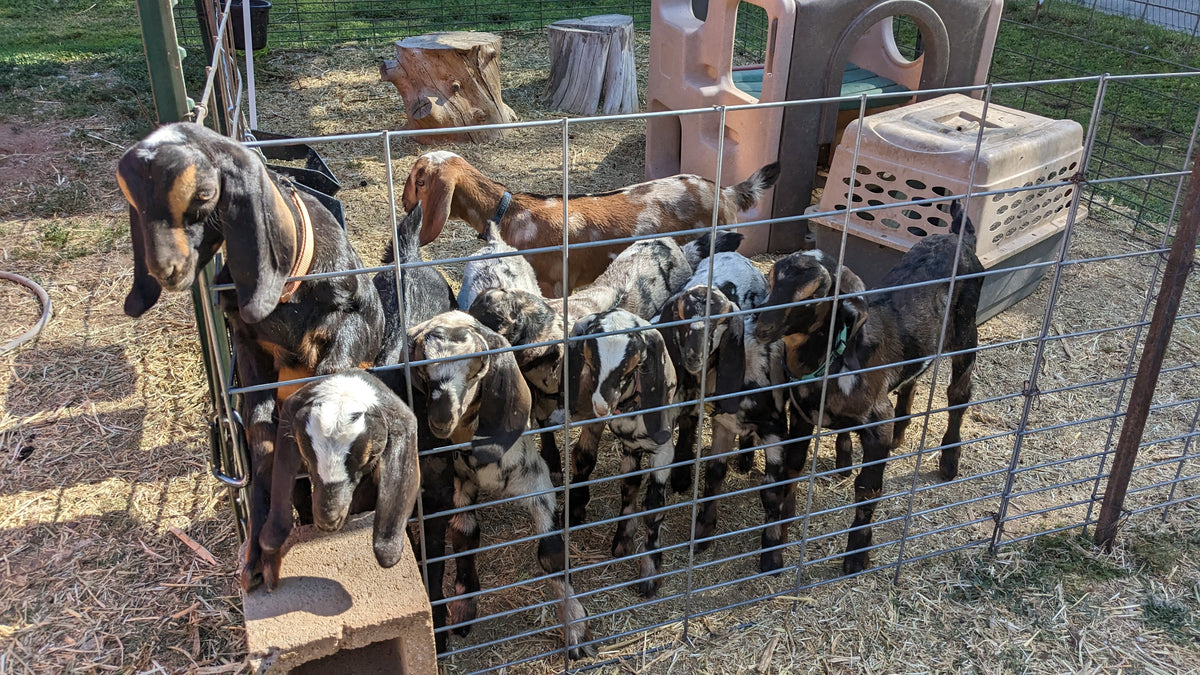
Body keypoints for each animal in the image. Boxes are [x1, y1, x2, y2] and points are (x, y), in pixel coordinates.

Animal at [116, 122, 383, 591]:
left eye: (204, 193)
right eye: (132, 199)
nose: (164, 270)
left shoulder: (357, 319)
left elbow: (334, 376)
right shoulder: (249, 350)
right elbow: (261, 443)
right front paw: (260, 551)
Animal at [408, 311, 594, 658]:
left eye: (477, 369)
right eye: (423, 369)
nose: (441, 419)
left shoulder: (534, 482)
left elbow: (551, 552)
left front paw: (576, 628)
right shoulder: (459, 486)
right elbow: (464, 536)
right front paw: (463, 610)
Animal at [567, 308, 677, 597]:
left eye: (632, 367)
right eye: (590, 362)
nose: (601, 406)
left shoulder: (663, 450)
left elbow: (654, 507)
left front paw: (650, 570)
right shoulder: (615, 437)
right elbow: (587, 460)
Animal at [754, 201, 983, 574]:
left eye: (816, 294)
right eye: (773, 278)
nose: (761, 323)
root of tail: (958, 237)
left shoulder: (877, 422)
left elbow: (868, 489)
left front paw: (856, 555)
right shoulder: (800, 418)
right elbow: (789, 472)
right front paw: (773, 550)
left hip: (966, 329)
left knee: (959, 395)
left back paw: (949, 460)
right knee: (912, 379)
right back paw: (898, 435)